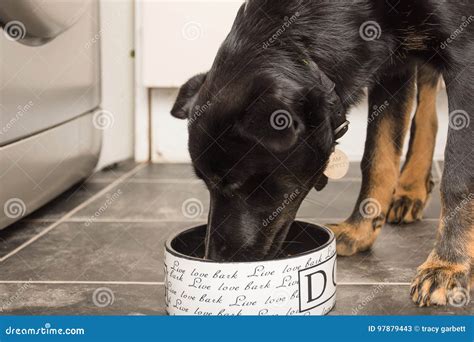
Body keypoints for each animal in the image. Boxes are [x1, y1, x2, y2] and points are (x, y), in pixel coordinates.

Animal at [171, 0, 474, 306]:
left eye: (235, 183)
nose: (213, 259)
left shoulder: (464, 57)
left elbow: (457, 178)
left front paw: (448, 265)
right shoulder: (391, 66)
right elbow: (377, 158)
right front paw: (359, 231)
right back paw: (411, 188)